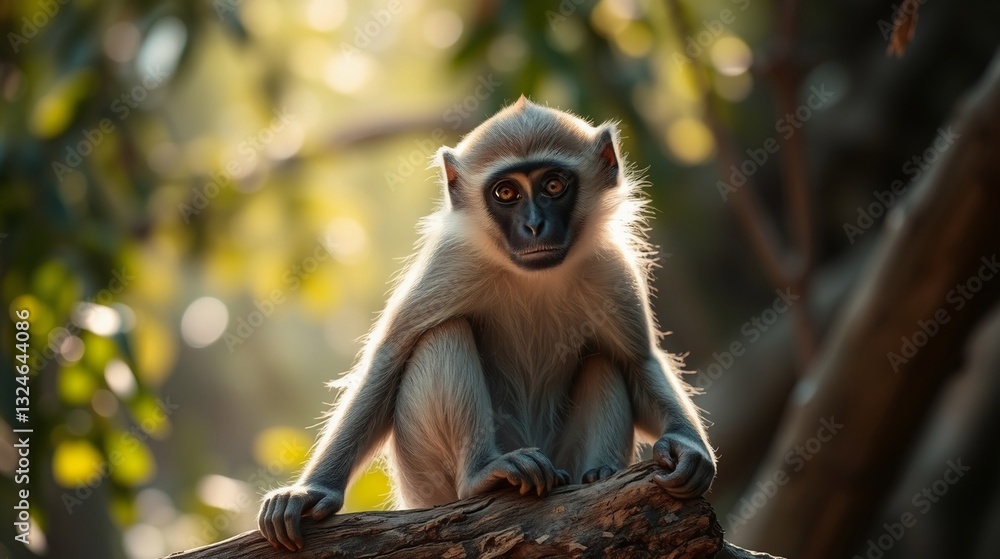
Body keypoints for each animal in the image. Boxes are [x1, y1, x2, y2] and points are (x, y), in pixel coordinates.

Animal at [257, 96, 717, 551]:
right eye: (506, 192)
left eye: (553, 186)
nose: (534, 225)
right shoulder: (453, 260)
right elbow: (389, 358)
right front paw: (312, 492)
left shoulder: (609, 268)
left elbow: (639, 362)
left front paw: (687, 448)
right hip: (427, 482)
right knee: (445, 334)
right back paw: (483, 476)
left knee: (604, 359)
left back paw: (598, 475)